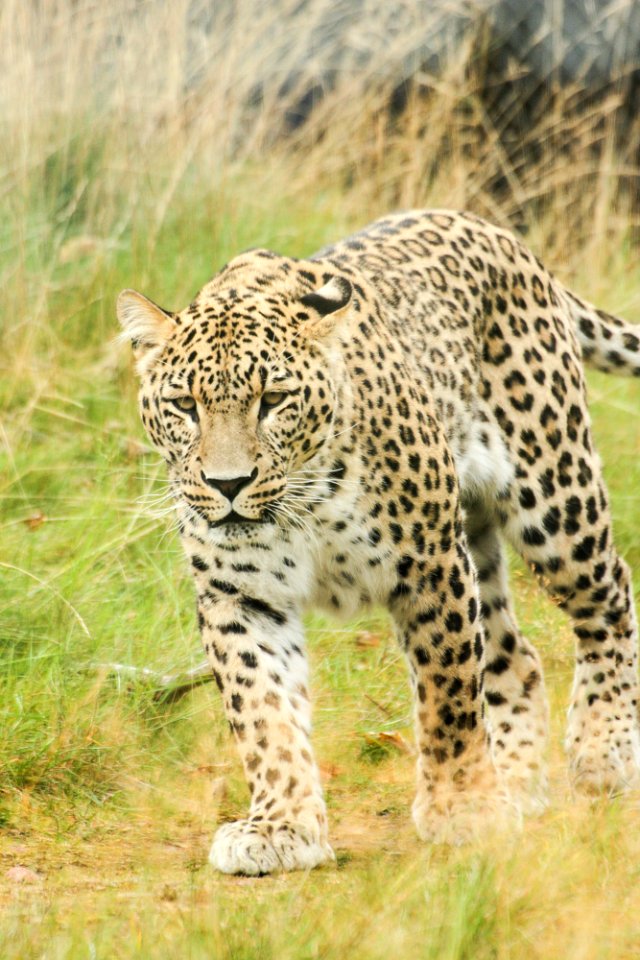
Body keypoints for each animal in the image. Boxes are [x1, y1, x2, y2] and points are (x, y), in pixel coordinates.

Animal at [117, 210, 640, 876]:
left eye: (273, 400)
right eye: (184, 405)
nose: (227, 484)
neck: (303, 505)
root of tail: (493, 228)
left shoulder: (432, 567)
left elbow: (448, 695)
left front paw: (464, 807)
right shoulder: (240, 596)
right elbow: (264, 715)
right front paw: (281, 827)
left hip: (554, 493)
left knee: (608, 594)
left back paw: (602, 750)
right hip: (478, 536)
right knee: (516, 655)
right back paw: (518, 781)